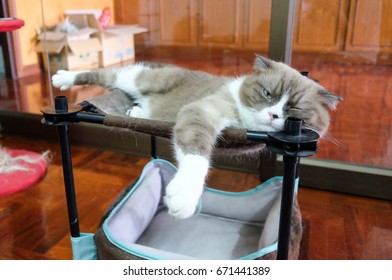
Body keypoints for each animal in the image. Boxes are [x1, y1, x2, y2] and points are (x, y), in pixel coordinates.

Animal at [51, 54, 340, 220]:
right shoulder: (201, 111)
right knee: (105, 74)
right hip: (139, 79)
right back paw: (63, 77)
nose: (273, 115)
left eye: (295, 109)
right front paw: (186, 195)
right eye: (267, 93)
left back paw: (138, 110)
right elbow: (196, 156)